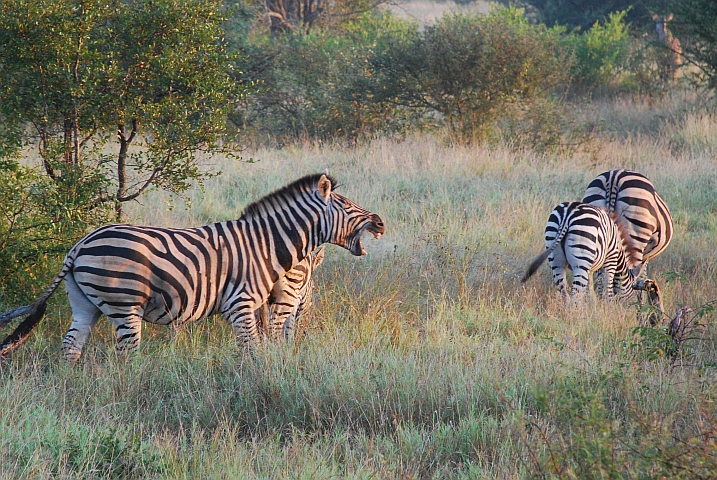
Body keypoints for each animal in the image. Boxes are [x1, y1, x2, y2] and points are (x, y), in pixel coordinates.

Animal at [0, 174, 386, 362]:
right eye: (347, 206)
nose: (381, 222)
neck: (266, 244)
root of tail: (80, 244)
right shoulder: (242, 303)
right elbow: (252, 350)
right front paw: (259, 381)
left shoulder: (258, 305)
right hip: (124, 302)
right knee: (126, 354)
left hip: (84, 303)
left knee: (70, 346)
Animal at [520, 202, 656, 304]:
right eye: (635, 293)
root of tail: (568, 213)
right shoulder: (610, 260)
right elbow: (607, 287)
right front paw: (608, 308)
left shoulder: (590, 269)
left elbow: (589, 289)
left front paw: (592, 306)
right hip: (581, 257)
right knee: (575, 293)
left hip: (556, 256)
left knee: (563, 290)